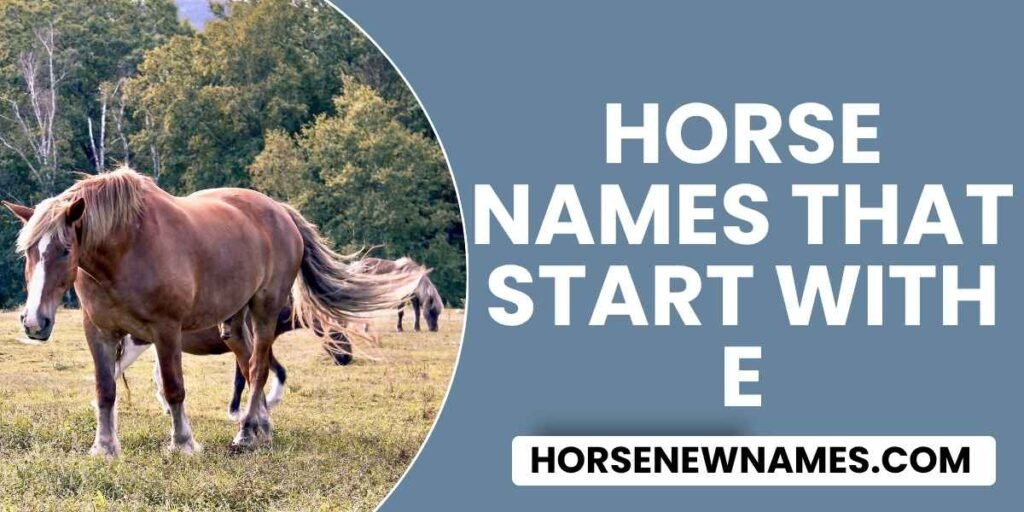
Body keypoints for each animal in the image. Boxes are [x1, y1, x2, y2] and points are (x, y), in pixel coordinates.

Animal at [114, 298, 353, 420]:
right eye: (336, 332)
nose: (346, 358)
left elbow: (278, 372)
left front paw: (270, 401)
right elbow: (240, 380)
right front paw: (236, 411)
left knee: (158, 378)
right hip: (137, 344)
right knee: (117, 370)